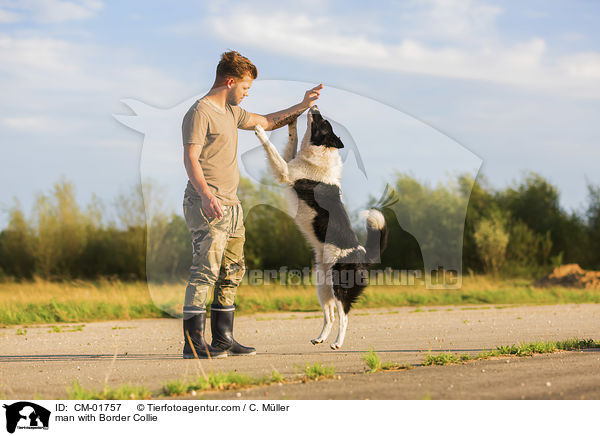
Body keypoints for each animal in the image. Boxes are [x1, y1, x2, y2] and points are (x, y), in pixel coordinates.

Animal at [254, 106, 390, 350]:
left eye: (323, 122)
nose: (315, 107)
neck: (322, 152)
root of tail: (363, 255)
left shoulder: (285, 171)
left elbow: (271, 149)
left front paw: (260, 130)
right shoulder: (289, 160)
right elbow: (291, 141)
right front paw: (291, 123)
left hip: (339, 287)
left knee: (344, 317)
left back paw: (337, 343)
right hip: (322, 285)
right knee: (331, 316)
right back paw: (320, 338)